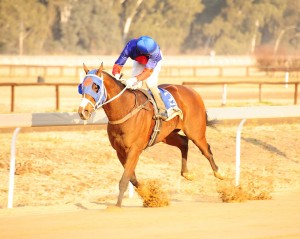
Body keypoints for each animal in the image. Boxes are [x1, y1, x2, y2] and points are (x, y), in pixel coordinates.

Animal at [78, 63, 224, 207]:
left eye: (96, 87)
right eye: (82, 87)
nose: (82, 111)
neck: (125, 109)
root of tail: (193, 91)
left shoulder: (134, 149)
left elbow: (124, 179)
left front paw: (117, 207)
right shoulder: (120, 151)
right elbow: (131, 178)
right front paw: (151, 197)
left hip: (196, 133)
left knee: (206, 151)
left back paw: (220, 174)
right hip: (166, 135)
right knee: (183, 142)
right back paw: (187, 173)